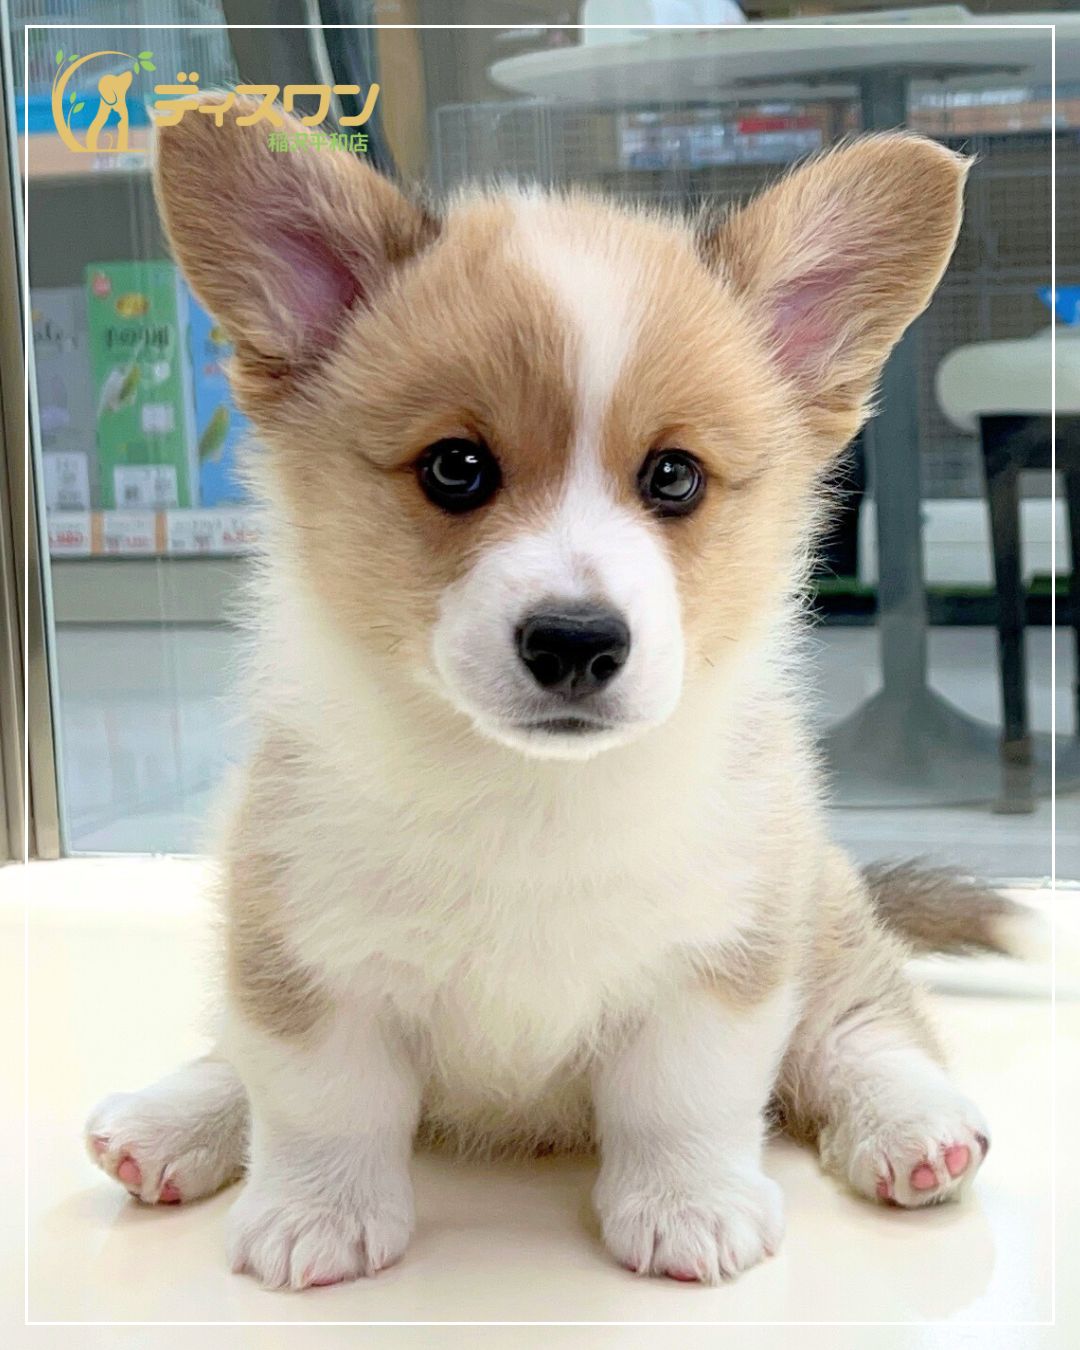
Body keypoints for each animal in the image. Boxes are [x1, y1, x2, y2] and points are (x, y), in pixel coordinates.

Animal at [85, 96, 1024, 1289]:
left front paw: (688, 1208)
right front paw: (318, 1216)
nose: (576, 643)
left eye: (674, 476)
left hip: (819, 914)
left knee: (864, 1021)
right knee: (230, 1052)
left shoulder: (719, 954)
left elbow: (685, 1096)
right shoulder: (301, 945)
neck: (528, 793)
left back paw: (914, 1125)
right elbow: (317, 1098)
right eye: (455, 468)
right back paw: (169, 1122)